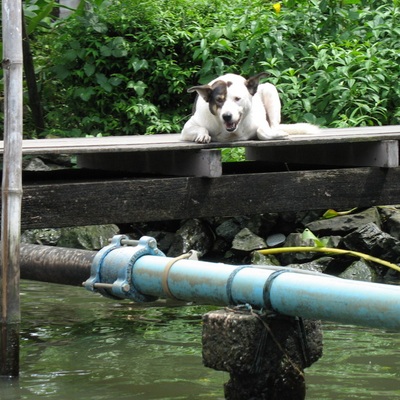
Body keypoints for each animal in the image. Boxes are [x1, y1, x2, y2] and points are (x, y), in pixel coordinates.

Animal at [180, 72, 318, 143]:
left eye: (237, 98)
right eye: (219, 100)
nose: (227, 116)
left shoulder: (261, 123)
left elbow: (261, 131)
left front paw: (276, 135)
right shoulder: (187, 128)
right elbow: (201, 128)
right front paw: (203, 135)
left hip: (269, 89)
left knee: (274, 125)